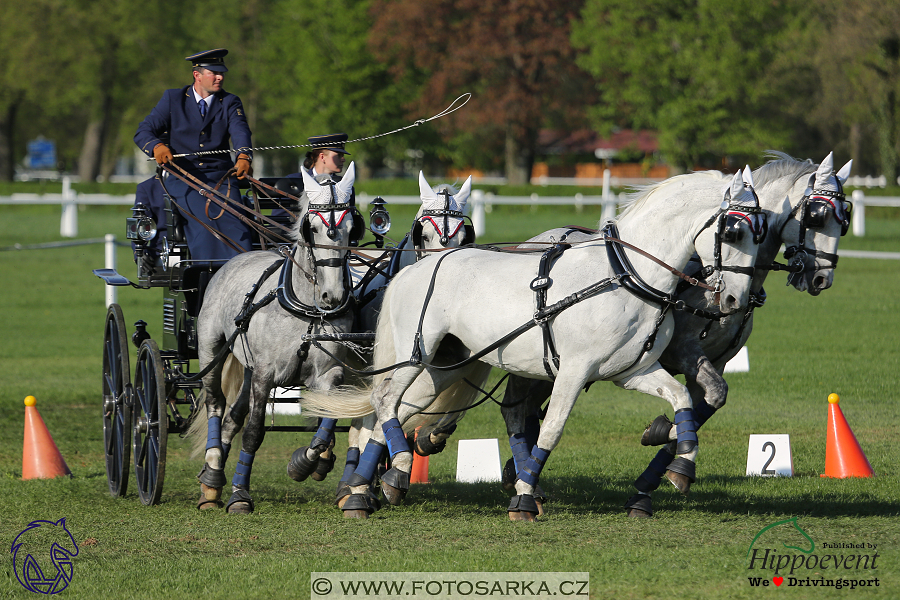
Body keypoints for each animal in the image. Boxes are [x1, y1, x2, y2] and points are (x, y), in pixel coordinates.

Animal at [306, 166, 764, 516]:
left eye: (763, 233)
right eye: (733, 231)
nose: (735, 300)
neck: (626, 274)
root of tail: (415, 268)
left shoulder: (634, 370)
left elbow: (682, 400)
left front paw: (679, 462)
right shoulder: (574, 371)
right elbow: (553, 429)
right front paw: (525, 498)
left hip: (444, 366)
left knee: (391, 412)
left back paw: (368, 486)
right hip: (413, 356)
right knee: (385, 399)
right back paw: (392, 469)